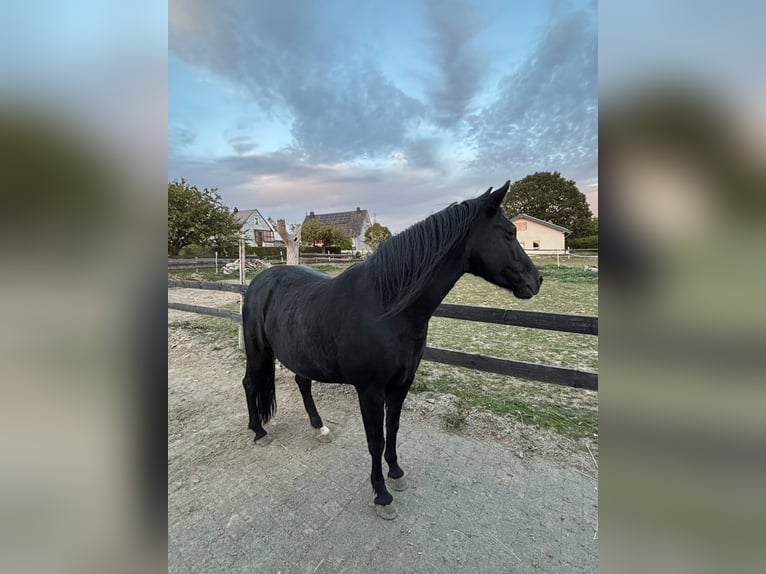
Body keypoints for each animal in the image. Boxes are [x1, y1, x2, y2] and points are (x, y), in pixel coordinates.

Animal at [241, 181, 542, 519]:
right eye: (510, 233)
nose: (537, 280)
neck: (386, 305)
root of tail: (259, 281)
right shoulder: (370, 390)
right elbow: (376, 440)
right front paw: (381, 495)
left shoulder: (402, 383)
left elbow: (393, 429)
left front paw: (396, 473)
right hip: (257, 351)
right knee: (250, 384)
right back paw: (259, 431)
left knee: (302, 382)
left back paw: (319, 428)